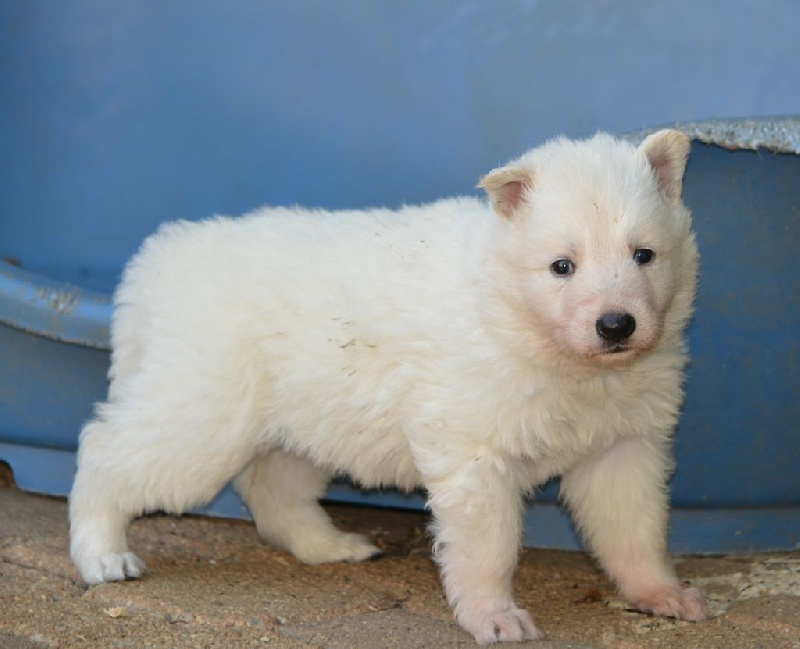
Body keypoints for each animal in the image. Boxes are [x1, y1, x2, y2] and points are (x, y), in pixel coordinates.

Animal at [70, 129, 707, 644]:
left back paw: (333, 546)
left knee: (271, 490)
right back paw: (103, 555)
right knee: (106, 453)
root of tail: (160, 258)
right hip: (204, 413)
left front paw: (662, 595)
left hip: (304, 418)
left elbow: (637, 532)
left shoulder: (624, 447)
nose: (616, 325)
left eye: (644, 255)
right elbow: (490, 545)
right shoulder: (474, 453)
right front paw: (494, 617)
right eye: (561, 266)